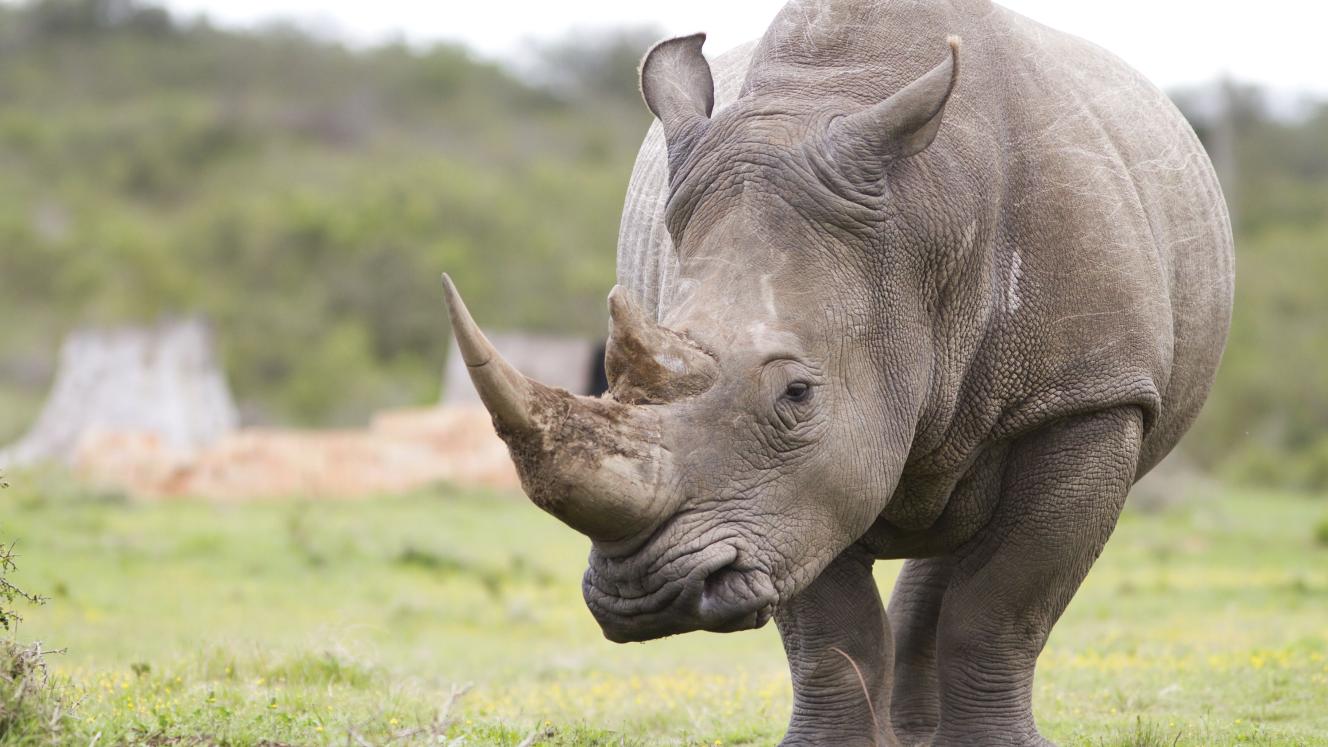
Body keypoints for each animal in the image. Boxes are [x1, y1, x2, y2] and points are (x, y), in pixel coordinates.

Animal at [441, 0, 1234, 743]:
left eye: (797, 393)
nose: (644, 594)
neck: (923, 229)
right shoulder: (785, 497)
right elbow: (831, 627)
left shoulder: (1089, 395)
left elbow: (1004, 603)